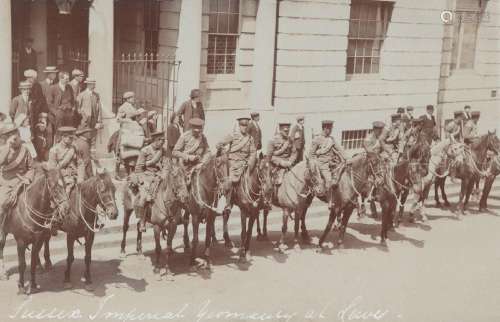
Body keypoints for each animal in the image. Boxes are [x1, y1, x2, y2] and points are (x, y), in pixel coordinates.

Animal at [0, 166, 70, 294]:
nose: (66, 208)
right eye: (54, 187)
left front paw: (33, 284)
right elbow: (22, 264)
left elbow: (32, 263)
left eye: (64, 184)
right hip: (2, 233)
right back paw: (3, 273)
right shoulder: (21, 242)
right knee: (1, 248)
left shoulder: (38, 240)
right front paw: (21, 286)